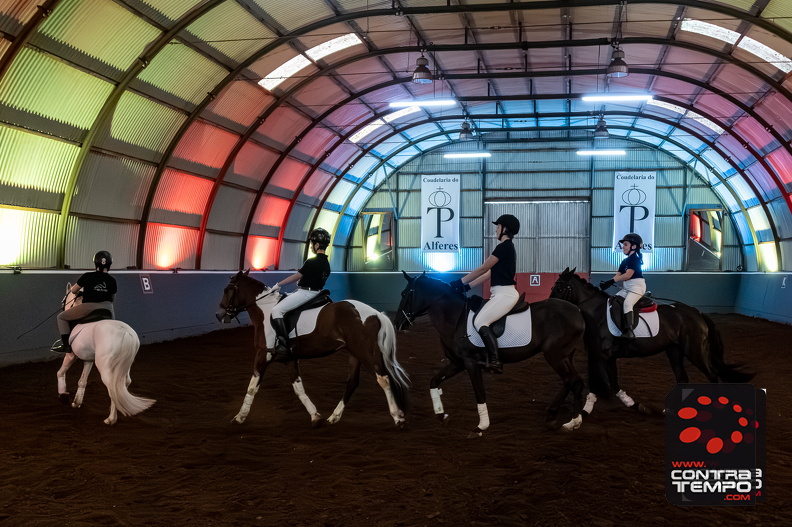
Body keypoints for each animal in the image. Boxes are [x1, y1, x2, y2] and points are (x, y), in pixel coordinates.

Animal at [55, 284, 155, 424]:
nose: (63, 305)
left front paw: (63, 395)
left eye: (63, 300)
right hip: (124, 365)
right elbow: (82, 381)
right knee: (123, 383)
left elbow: (60, 372)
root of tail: (125, 332)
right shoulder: (88, 360)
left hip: (105, 366)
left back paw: (111, 419)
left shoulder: (71, 356)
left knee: (112, 386)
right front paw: (76, 402)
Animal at [216, 270, 410, 428]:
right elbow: (298, 389)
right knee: (353, 382)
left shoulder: (263, 354)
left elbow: (251, 388)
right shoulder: (289, 359)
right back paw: (334, 417)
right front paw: (315, 417)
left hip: (365, 352)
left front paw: (239, 418)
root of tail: (375, 313)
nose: (219, 315)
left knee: (383, 378)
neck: (266, 310)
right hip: (354, 353)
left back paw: (397, 417)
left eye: (226, 290)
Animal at [393, 272, 591, 437]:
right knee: (573, 381)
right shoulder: (457, 363)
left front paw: (481, 426)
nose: (397, 323)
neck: (454, 318)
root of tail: (577, 311)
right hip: (564, 356)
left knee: (572, 380)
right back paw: (564, 419)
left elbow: (479, 392)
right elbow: (434, 381)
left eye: (404, 294)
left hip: (555, 356)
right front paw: (442, 415)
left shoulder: (470, 362)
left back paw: (566, 419)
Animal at [549, 267, 753, 411]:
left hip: (695, 351)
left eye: (559, 287)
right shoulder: (606, 356)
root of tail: (697, 312)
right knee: (682, 377)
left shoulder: (603, 356)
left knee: (712, 374)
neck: (598, 314)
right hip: (674, 351)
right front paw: (631, 403)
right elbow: (611, 383)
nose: (550, 305)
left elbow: (604, 383)